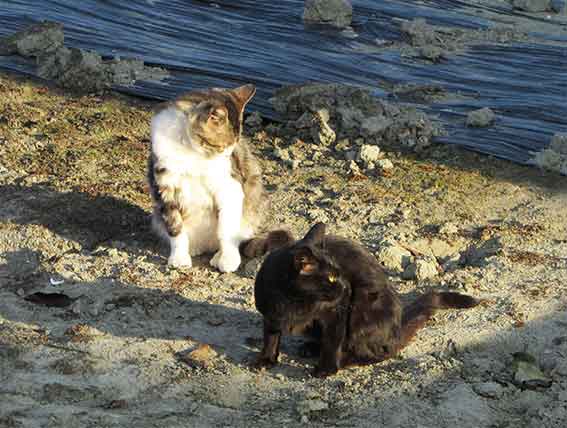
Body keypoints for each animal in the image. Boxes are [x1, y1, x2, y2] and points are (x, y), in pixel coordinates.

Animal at [150, 84, 268, 272]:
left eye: (235, 145)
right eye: (221, 147)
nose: (229, 156)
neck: (191, 153)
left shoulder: (230, 188)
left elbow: (227, 230)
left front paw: (227, 260)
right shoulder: (164, 187)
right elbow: (175, 227)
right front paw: (179, 258)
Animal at [253, 222, 480, 376]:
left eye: (340, 273)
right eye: (331, 277)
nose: (346, 286)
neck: (294, 302)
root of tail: (397, 329)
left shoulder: (337, 311)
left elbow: (332, 340)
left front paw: (326, 369)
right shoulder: (270, 312)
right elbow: (270, 336)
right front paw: (266, 359)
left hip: (366, 308)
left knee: (376, 353)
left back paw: (342, 360)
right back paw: (310, 348)